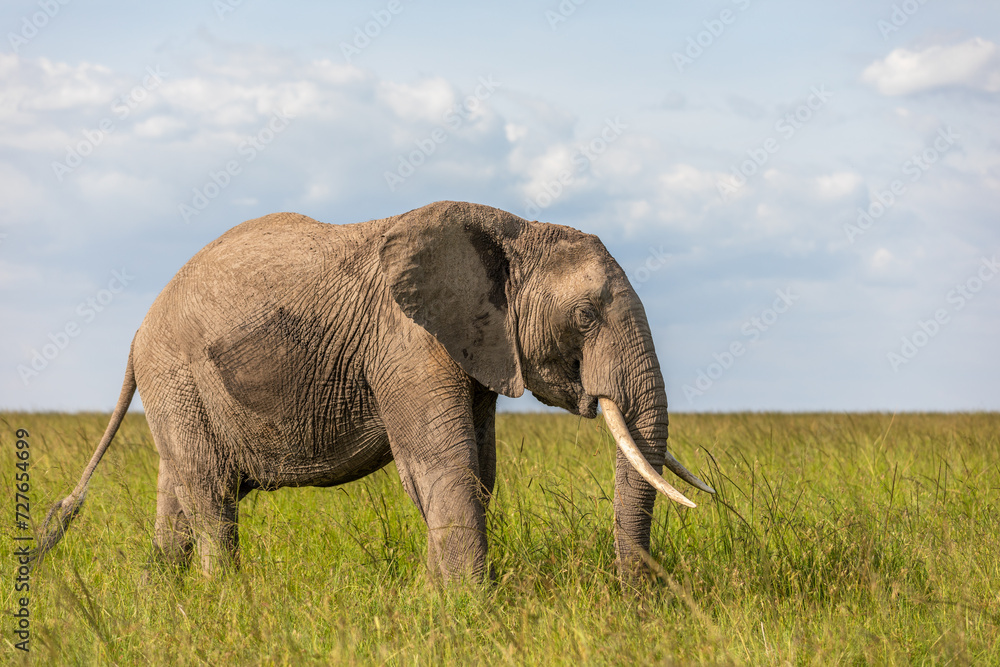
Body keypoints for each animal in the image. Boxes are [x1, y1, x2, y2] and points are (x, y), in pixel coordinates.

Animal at [33, 200, 714, 582]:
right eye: (585, 317)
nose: (637, 599)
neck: (515, 229)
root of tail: (138, 331)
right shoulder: (408, 340)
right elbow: (445, 466)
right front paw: (467, 610)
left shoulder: (474, 345)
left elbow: (476, 471)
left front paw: (437, 598)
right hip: (177, 377)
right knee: (210, 496)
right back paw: (223, 602)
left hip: (180, 389)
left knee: (178, 496)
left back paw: (167, 600)